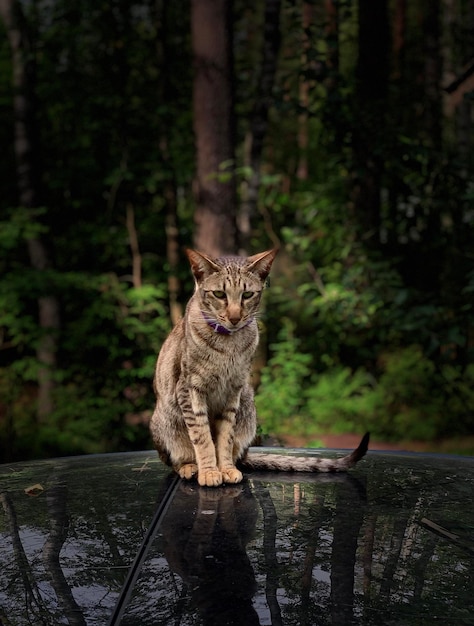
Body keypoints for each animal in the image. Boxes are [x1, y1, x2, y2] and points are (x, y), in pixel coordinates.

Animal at [150, 246, 368, 486]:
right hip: (164, 420)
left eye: (247, 295)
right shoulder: (190, 389)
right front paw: (209, 471)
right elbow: (202, 436)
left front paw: (225, 468)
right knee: (176, 459)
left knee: (237, 451)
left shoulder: (233, 391)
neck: (228, 345)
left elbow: (225, 438)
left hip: (248, 409)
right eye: (219, 294)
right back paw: (190, 467)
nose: (235, 317)